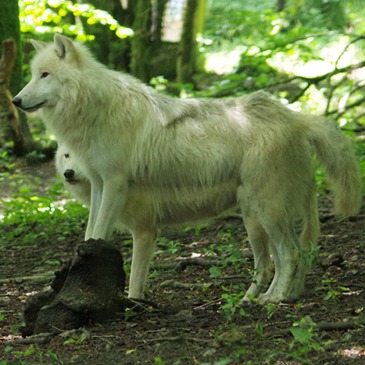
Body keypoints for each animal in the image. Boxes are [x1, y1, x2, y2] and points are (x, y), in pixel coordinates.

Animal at [12, 34, 360, 302]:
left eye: (45, 74)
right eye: (32, 74)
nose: (15, 100)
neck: (96, 108)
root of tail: (296, 118)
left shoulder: (115, 183)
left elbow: (99, 234)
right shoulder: (99, 184)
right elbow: (89, 233)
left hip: (267, 211)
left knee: (289, 254)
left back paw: (273, 300)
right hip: (261, 217)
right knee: (286, 256)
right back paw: (276, 297)